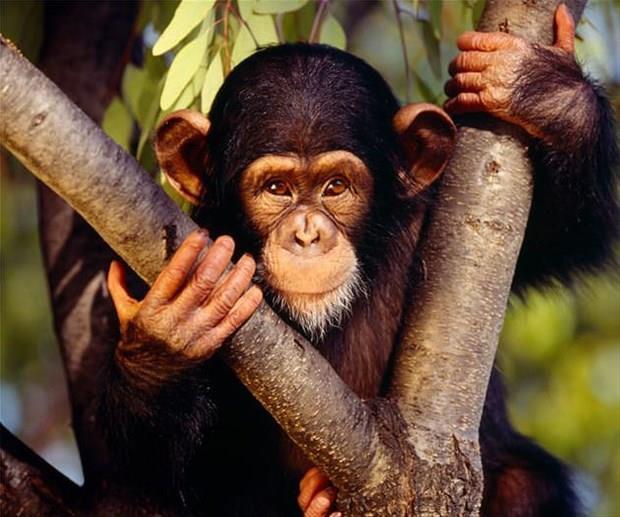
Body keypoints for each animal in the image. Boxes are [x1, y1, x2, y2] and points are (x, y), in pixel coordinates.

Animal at [100, 5, 616, 516]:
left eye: (336, 187)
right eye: (276, 189)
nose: (307, 234)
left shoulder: (438, 217)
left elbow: (566, 233)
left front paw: (544, 91)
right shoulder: (169, 249)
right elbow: (146, 472)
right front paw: (169, 336)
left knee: (525, 484)